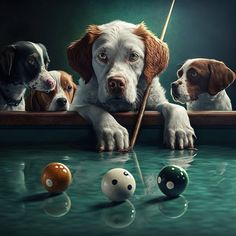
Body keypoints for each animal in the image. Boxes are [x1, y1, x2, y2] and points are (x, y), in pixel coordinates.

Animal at [67, 19, 195, 150]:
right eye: (102, 55)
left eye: (133, 56)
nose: (116, 83)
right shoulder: (76, 105)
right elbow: (94, 108)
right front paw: (112, 130)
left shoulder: (155, 102)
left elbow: (175, 107)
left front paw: (180, 129)